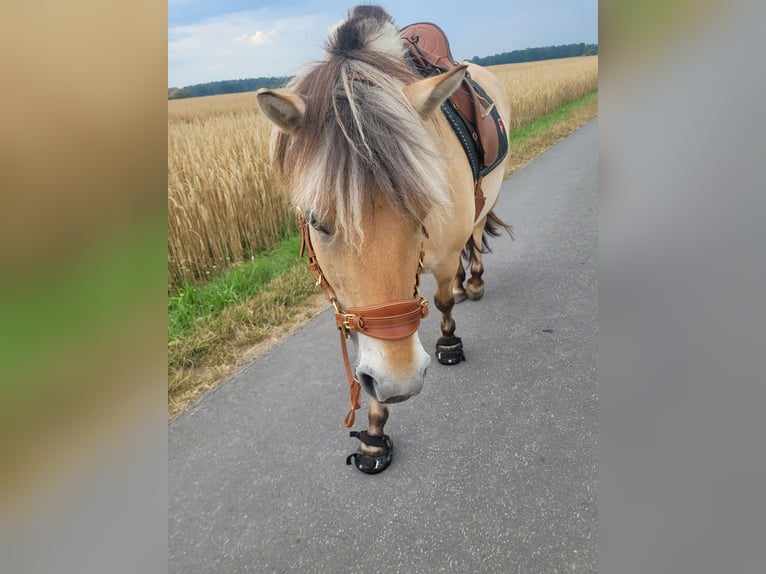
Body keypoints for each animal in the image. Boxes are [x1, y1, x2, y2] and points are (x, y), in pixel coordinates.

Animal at [255, 5, 512, 476]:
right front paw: (374, 433)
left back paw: (473, 282)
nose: (401, 380)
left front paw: (449, 342)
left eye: (422, 208)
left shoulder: (442, 256)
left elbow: (441, 300)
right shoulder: (350, 306)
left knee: (476, 231)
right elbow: (364, 365)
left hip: (489, 196)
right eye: (316, 220)